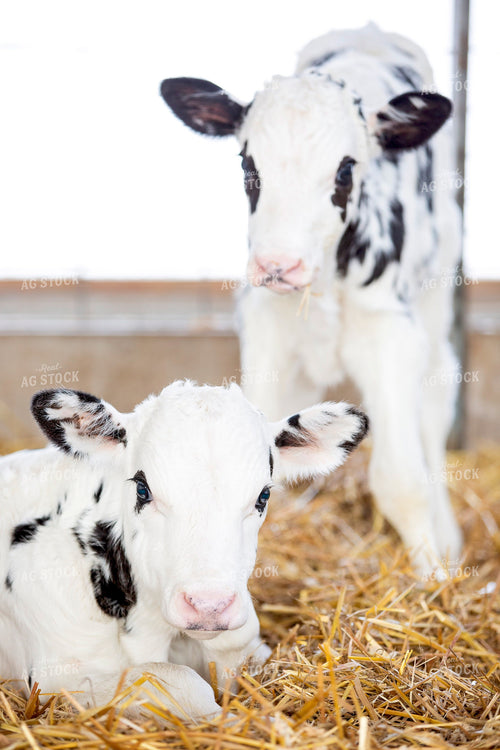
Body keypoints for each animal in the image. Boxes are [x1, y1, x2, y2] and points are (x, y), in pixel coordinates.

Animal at [0, 382, 368, 721]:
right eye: (143, 489)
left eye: (263, 496)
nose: (209, 605)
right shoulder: (58, 677)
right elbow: (175, 680)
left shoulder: (245, 644)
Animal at [159, 23, 463, 576]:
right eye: (247, 163)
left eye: (345, 171)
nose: (278, 264)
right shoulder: (266, 325)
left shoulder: (389, 333)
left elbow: (400, 480)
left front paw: (431, 578)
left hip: (435, 298)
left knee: (435, 397)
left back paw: (448, 538)